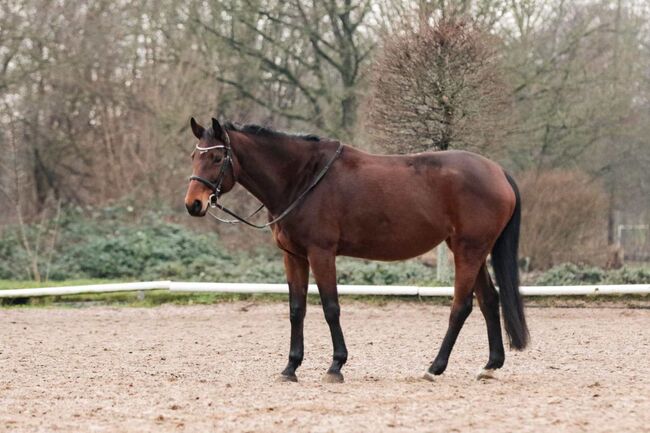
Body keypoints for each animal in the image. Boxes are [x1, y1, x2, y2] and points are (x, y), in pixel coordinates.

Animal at [184, 117, 528, 382]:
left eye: (217, 158)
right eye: (193, 156)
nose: (193, 204)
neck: (303, 178)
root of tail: (498, 172)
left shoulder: (321, 253)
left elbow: (330, 307)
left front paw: (336, 365)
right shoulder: (293, 256)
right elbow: (297, 309)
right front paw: (291, 367)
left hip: (469, 251)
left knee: (462, 306)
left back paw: (435, 368)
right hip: (469, 250)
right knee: (488, 300)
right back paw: (490, 366)